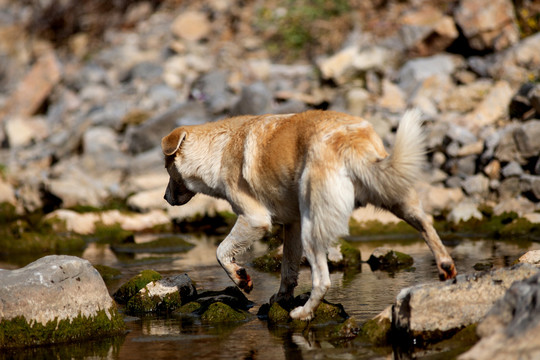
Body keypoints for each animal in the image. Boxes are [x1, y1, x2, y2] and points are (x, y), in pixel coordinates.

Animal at [162, 109, 458, 320]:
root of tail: (348, 138)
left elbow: (221, 252)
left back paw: (303, 313)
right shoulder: (292, 224)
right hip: (396, 196)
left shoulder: (255, 219)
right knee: (427, 227)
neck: (219, 149)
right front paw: (279, 299)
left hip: (313, 226)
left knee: (323, 281)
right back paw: (445, 267)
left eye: (166, 168)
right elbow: (288, 270)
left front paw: (241, 279)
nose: (165, 198)